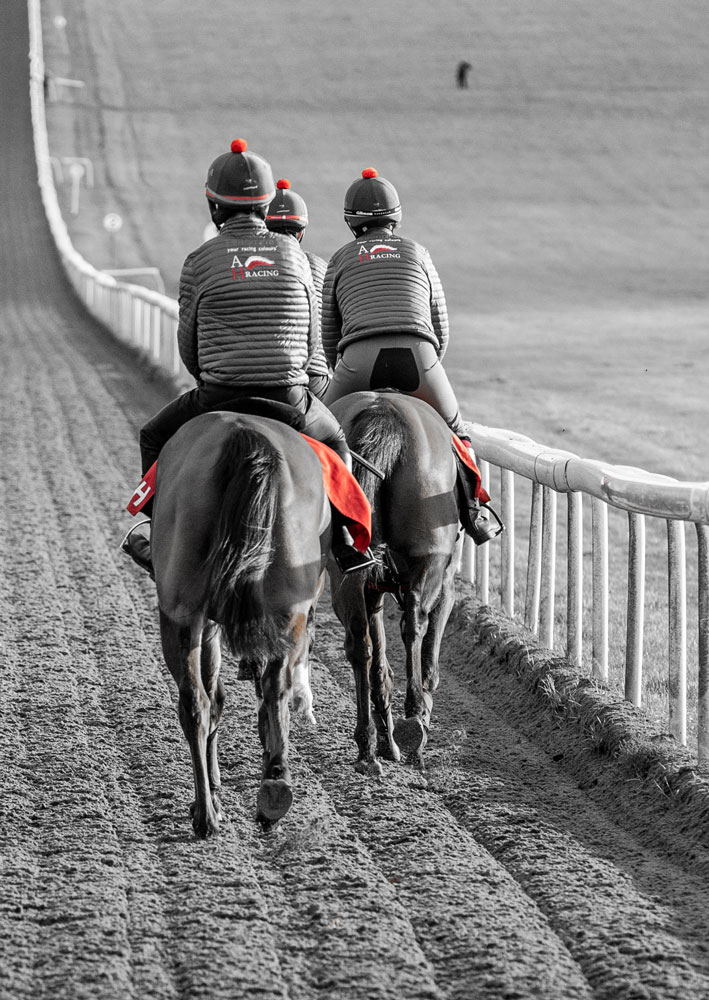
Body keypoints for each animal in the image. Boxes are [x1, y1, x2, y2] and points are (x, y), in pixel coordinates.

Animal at [151, 406, 330, 836]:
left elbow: (215, 695)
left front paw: (216, 789)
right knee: (271, 689)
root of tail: (247, 437)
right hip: (286, 607)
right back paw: (273, 790)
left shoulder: (204, 620)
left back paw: (207, 811)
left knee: (196, 702)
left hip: (180, 612)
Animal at [330, 390, 462, 772]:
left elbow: (377, 658)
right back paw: (413, 717)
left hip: (341, 569)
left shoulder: (371, 585)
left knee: (358, 644)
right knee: (413, 623)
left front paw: (385, 738)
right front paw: (422, 706)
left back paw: (368, 744)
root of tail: (382, 414)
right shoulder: (446, 581)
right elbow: (430, 648)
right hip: (428, 556)